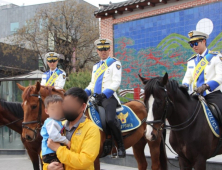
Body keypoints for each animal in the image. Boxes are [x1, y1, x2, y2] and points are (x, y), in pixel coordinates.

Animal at [17, 81, 167, 169]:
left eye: (34, 106)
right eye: (22, 106)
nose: (26, 135)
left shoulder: (93, 158)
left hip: (153, 141)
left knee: (155, 165)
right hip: (138, 143)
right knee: (142, 164)